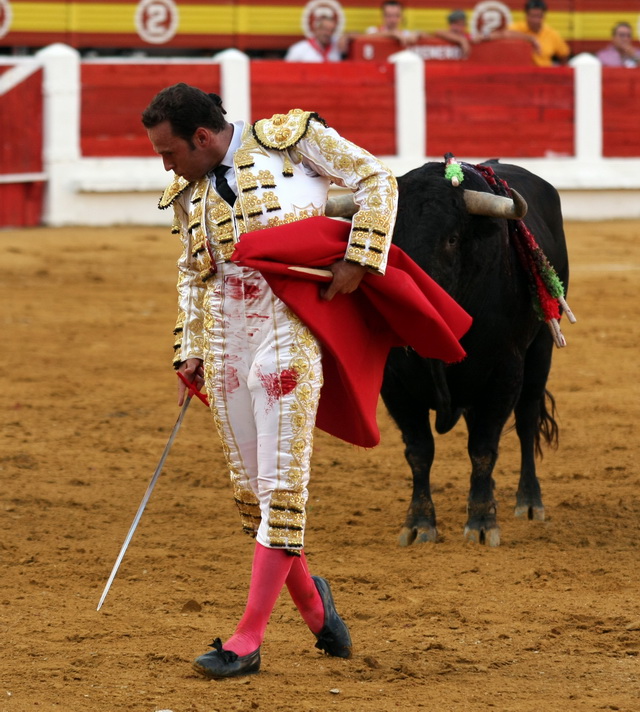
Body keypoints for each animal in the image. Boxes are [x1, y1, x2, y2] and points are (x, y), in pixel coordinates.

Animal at [332, 161, 568, 548]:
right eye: (388, 240)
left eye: (452, 239)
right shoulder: (395, 384)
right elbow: (419, 451)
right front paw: (419, 523)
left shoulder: (504, 372)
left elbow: (484, 448)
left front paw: (483, 523)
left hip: (541, 350)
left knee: (527, 419)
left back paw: (529, 502)